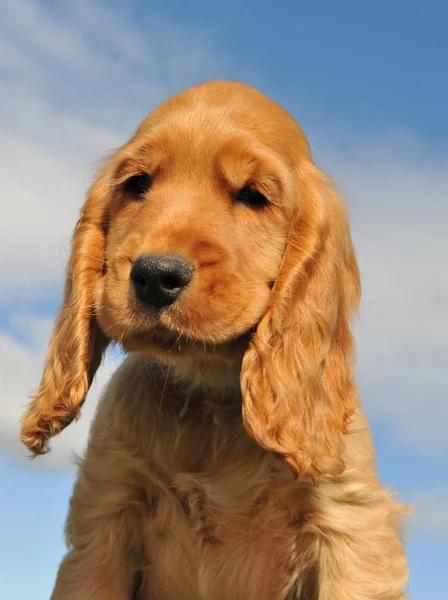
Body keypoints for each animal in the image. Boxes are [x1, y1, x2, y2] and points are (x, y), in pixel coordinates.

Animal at [21, 81, 408, 600]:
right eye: (137, 185)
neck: (210, 399)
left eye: (253, 196)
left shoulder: (350, 525)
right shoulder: (105, 514)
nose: (155, 275)